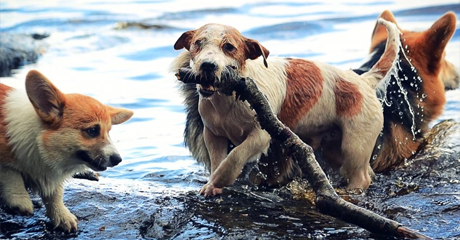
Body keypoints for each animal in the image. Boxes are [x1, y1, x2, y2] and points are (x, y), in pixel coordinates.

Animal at [0, 70, 133, 232]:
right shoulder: (6, 161)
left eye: (108, 132)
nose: (118, 160)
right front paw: (19, 199)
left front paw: (62, 216)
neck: (37, 138)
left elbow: (55, 195)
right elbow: (10, 173)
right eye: (93, 130)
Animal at [171, 18, 400, 196]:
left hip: (354, 145)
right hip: (334, 149)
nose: (207, 66)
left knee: (361, 177)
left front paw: (219, 180)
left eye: (229, 47)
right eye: (197, 43)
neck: (228, 100)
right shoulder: (213, 135)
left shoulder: (260, 136)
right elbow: (218, 160)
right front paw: (212, 186)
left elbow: (234, 157)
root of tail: (365, 80)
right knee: (366, 171)